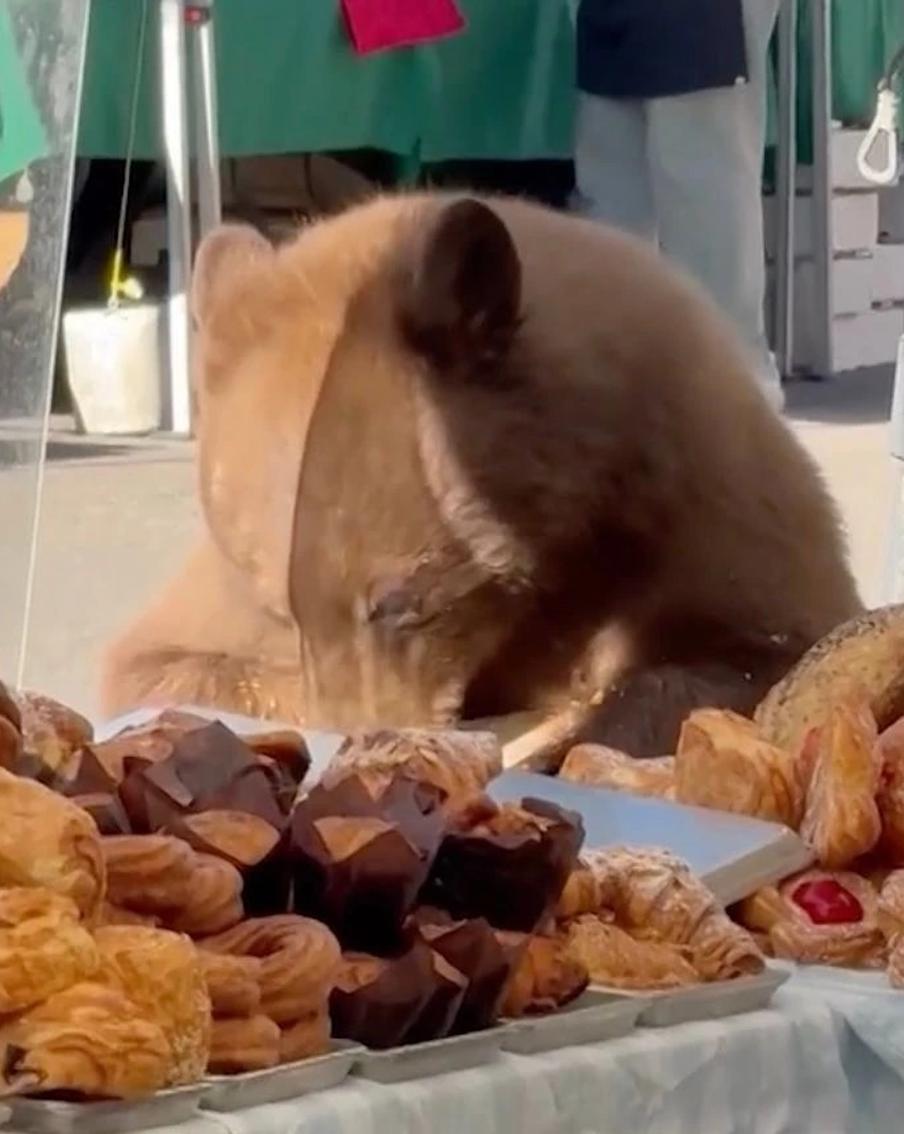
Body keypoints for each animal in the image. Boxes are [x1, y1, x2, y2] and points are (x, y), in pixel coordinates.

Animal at [101, 193, 862, 756]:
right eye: (279, 610)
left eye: (400, 601)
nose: (364, 733)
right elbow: (161, 666)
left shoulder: (703, 501)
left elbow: (766, 650)